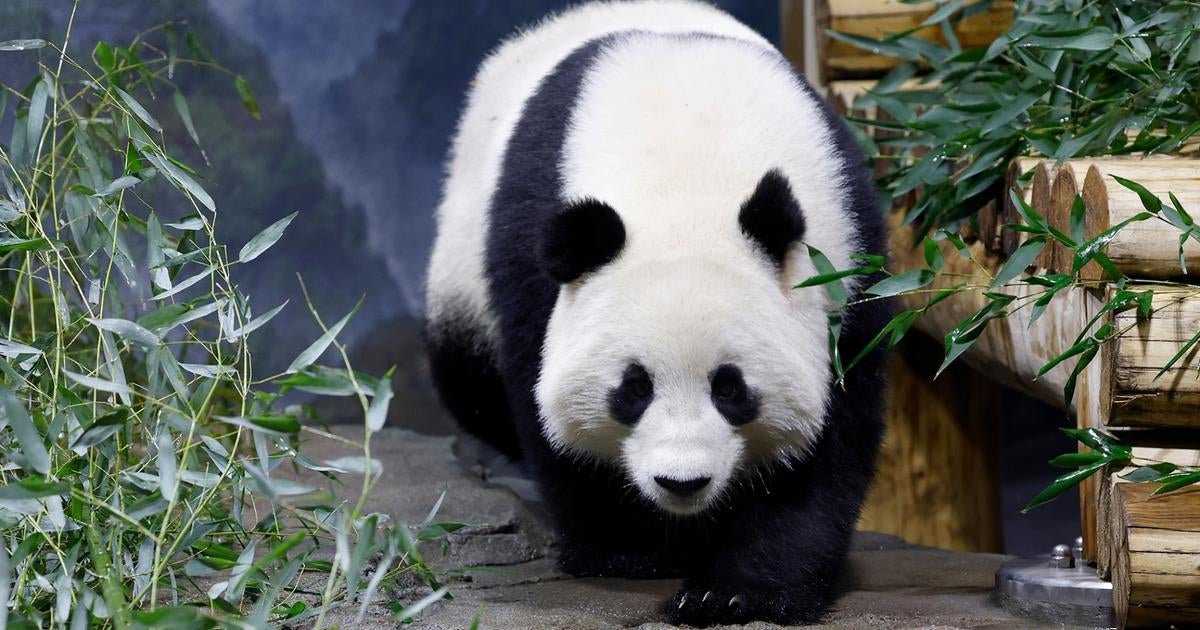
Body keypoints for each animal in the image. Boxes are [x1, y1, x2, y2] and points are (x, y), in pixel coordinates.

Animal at [427, 0, 888, 624]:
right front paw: (628, 548)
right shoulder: (529, 247)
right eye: (633, 388)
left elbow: (829, 439)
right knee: (469, 381)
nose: (682, 482)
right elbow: (544, 399)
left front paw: (737, 591)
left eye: (731, 389)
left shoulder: (846, 246)